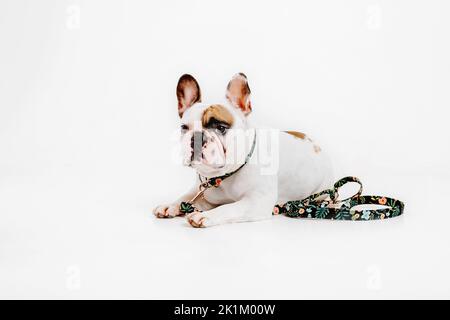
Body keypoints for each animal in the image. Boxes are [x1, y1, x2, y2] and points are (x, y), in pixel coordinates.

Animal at [153, 72, 332, 228]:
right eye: (184, 128)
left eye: (221, 127)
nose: (197, 136)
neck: (220, 177)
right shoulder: (200, 190)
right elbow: (186, 196)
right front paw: (171, 205)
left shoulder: (256, 201)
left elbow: (229, 207)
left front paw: (206, 215)